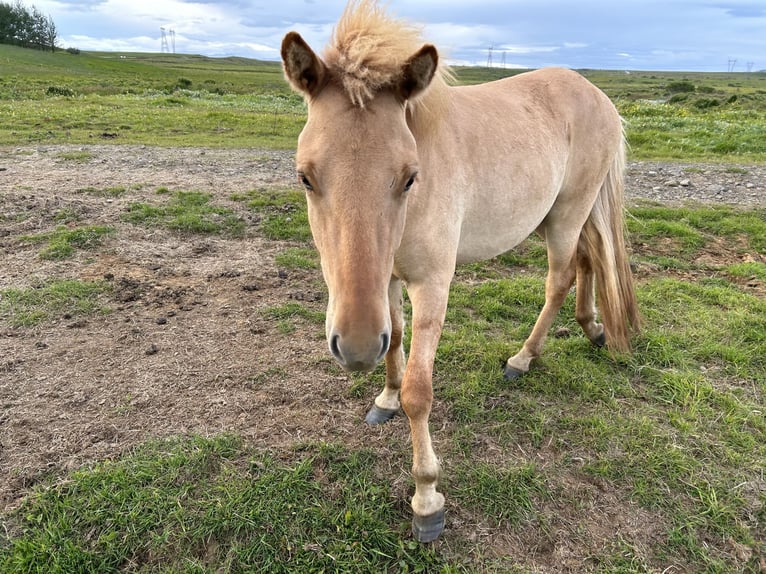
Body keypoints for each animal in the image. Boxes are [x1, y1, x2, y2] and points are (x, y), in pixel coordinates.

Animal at [280, 0, 640, 544]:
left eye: (410, 177)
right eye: (305, 176)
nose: (356, 348)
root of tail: (596, 94)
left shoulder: (432, 286)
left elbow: (420, 392)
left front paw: (427, 498)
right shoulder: (387, 281)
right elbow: (396, 341)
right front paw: (384, 398)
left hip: (567, 215)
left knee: (561, 279)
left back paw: (523, 358)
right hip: (560, 217)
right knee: (588, 259)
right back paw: (592, 327)